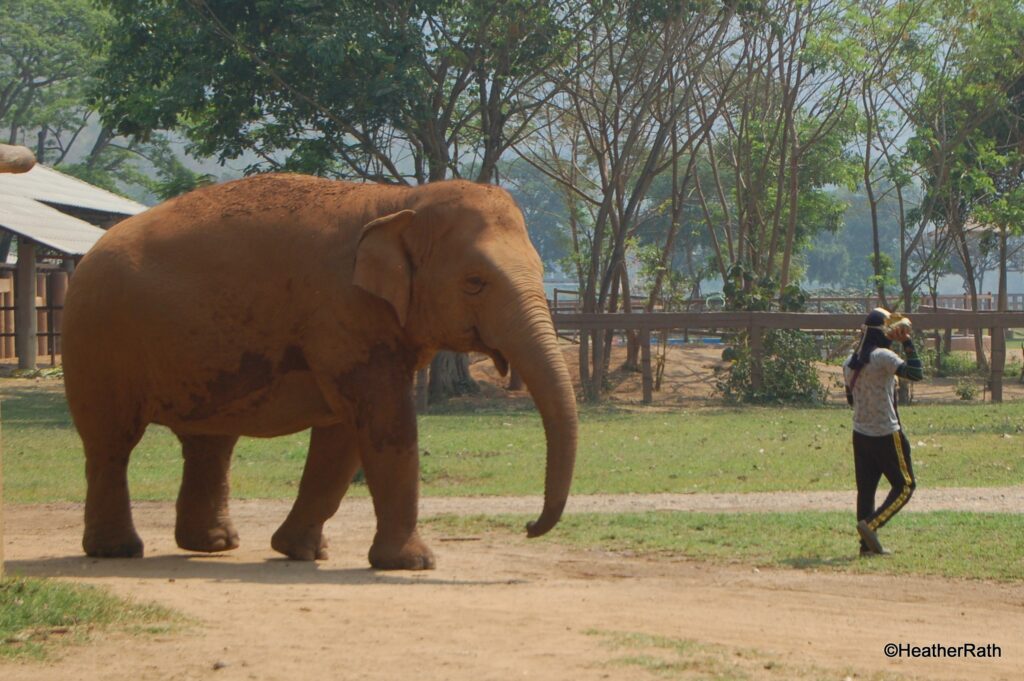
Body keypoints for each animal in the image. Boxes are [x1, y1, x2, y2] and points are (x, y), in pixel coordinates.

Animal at [59, 174, 577, 569]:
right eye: (474, 282)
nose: (528, 527)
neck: (400, 200)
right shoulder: (342, 312)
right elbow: (384, 422)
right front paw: (414, 563)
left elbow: (344, 432)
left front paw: (302, 552)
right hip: (96, 340)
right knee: (112, 443)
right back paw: (118, 551)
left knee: (210, 444)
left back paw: (214, 545)